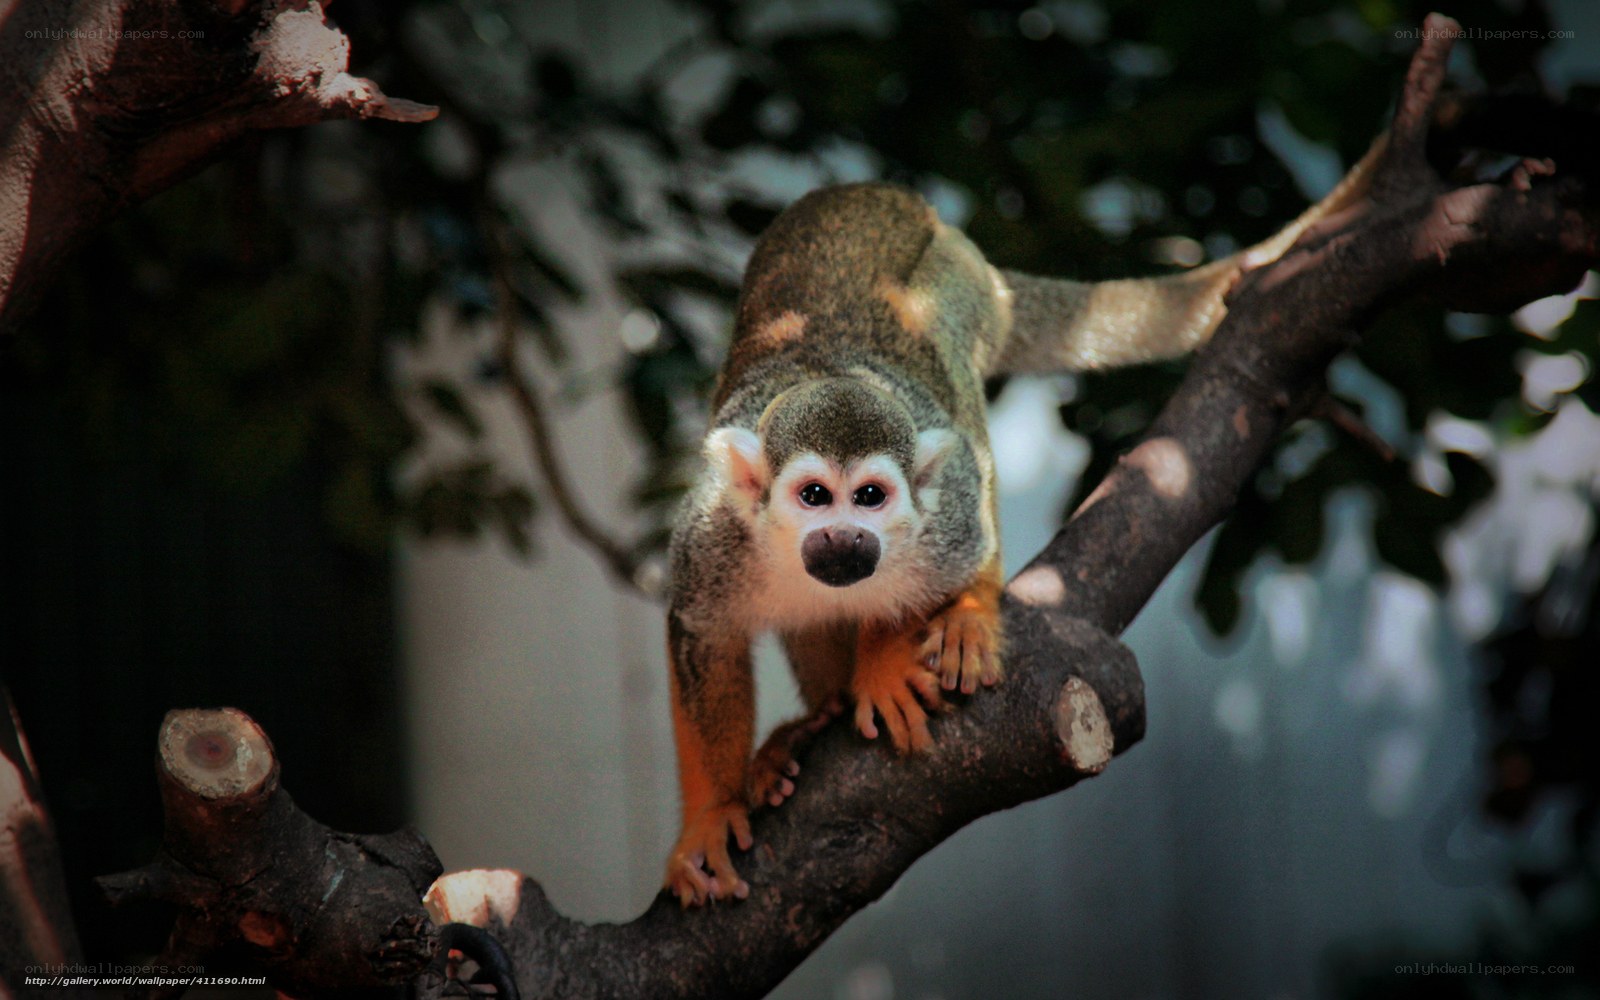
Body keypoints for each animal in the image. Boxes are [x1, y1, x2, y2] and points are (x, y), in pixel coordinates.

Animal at [662, 138, 1386, 906]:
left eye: (869, 497)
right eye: (812, 496)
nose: (847, 540)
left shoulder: (938, 520)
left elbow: (960, 518)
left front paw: (887, 657)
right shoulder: (713, 535)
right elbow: (701, 633)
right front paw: (710, 819)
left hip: (959, 286)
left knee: (955, 392)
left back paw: (962, 616)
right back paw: (812, 722)